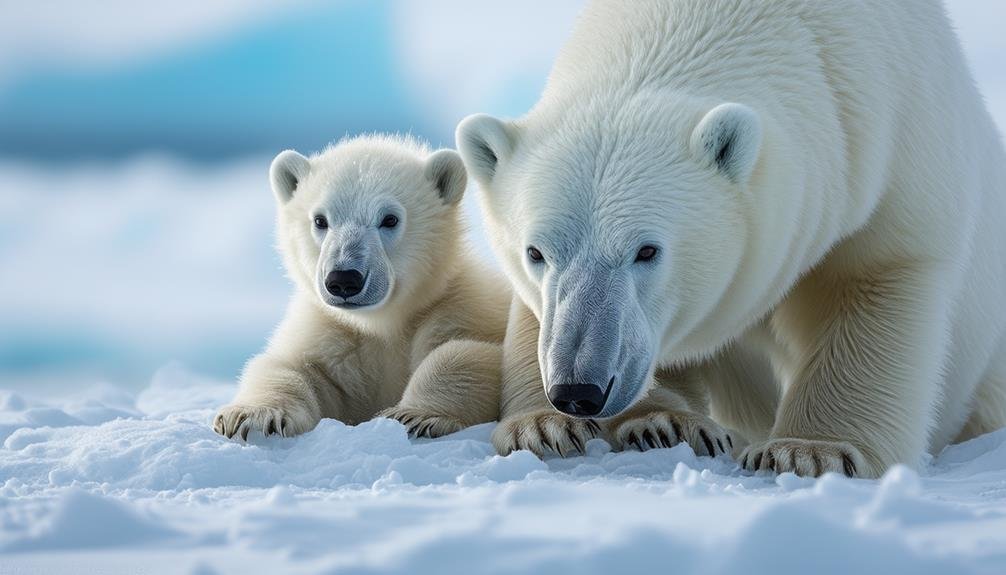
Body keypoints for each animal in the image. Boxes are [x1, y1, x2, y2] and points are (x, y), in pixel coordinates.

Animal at [456, 0, 1006, 476]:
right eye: (536, 252)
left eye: (647, 250)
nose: (578, 389)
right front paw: (554, 426)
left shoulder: (889, 150)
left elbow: (873, 282)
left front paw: (809, 451)